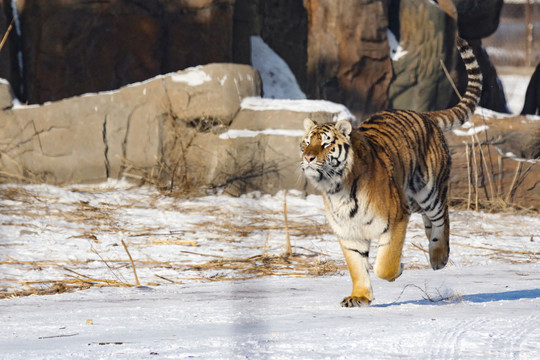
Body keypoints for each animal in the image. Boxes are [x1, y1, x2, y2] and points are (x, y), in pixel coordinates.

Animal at [302, 35, 484, 306]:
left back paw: (439, 257)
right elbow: (357, 267)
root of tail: (424, 114)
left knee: (443, 215)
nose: (308, 157)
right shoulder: (349, 234)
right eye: (306, 142)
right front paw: (359, 297)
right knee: (430, 220)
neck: (336, 189)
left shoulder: (397, 218)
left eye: (325, 144)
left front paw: (398, 268)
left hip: (427, 191)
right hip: (412, 198)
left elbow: (383, 265)